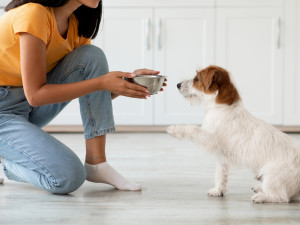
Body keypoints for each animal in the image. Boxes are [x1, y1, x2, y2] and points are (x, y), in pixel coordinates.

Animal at [168, 65, 300, 204]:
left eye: (197, 79)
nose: (177, 84)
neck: (222, 107)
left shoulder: (209, 138)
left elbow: (192, 128)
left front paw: (174, 129)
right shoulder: (222, 156)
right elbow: (220, 174)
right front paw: (218, 190)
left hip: (271, 175)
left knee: (281, 197)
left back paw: (262, 196)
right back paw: (259, 188)